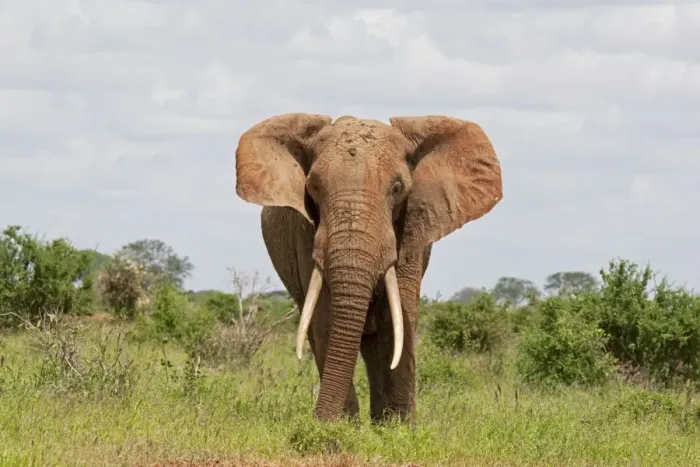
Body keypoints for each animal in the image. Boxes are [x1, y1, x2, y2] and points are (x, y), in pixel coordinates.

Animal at [234, 113, 503, 423]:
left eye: (397, 188)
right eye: (313, 188)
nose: (316, 422)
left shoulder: (411, 228)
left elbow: (397, 322)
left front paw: (397, 429)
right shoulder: (306, 235)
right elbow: (326, 320)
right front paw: (338, 429)